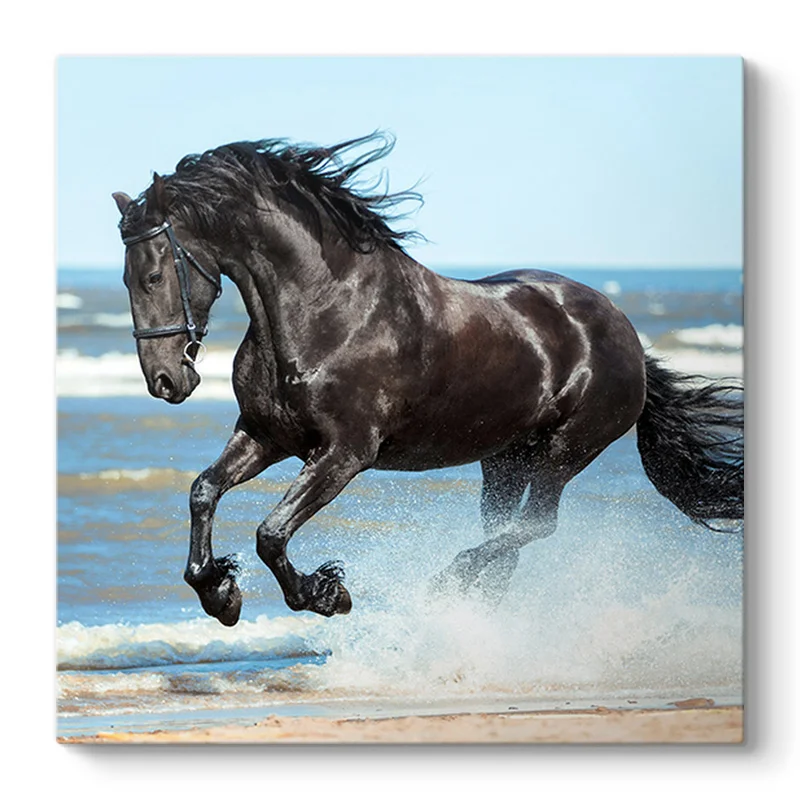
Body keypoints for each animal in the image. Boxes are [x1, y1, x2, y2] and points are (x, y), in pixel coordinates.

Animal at [112, 133, 744, 627]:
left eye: (152, 274)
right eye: (125, 278)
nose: (165, 381)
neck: (327, 309)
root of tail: (627, 335)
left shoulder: (344, 454)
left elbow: (272, 532)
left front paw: (326, 593)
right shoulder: (267, 435)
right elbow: (203, 491)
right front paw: (220, 593)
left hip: (566, 450)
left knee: (535, 526)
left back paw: (446, 586)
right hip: (506, 458)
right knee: (507, 536)